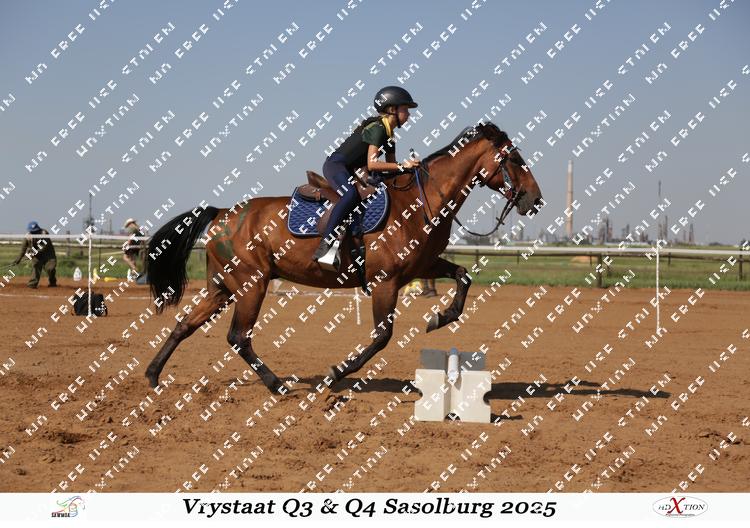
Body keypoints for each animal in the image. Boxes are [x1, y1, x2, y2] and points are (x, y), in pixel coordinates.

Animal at [144, 122, 543, 394]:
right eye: (514, 158)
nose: (535, 199)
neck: (419, 202)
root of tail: (223, 212)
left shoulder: (422, 266)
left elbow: (463, 276)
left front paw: (439, 318)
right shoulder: (385, 282)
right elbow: (382, 337)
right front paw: (335, 373)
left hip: (223, 286)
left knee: (185, 324)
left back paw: (152, 375)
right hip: (251, 284)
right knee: (238, 336)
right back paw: (276, 384)